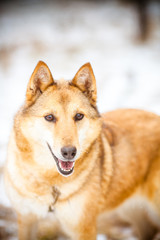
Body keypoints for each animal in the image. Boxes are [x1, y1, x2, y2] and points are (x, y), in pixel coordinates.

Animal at [4, 61, 160, 239]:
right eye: (49, 117)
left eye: (79, 116)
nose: (69, 152)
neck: (50, 183)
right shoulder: (26, 219)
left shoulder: (84, 228)